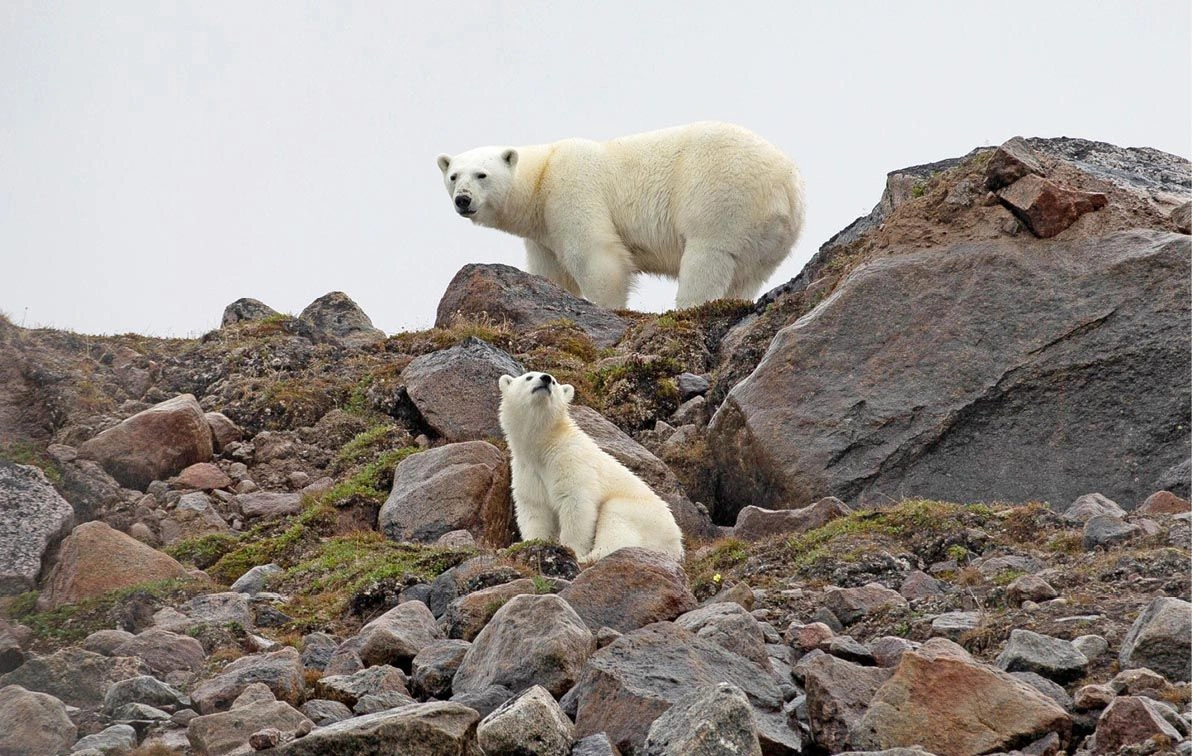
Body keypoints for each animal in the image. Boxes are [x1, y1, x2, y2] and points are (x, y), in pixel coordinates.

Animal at [437, 122, 805, 310]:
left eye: (482, 174)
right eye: (454, 176)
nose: (463, 200)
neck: (542, 176)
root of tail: (786, 182)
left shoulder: (572, 191)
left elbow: (597, 257)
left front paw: (608, 309)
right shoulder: (542, 232)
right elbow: (552, 273)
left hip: (720, 193)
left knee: (707, 259)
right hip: (766, 234)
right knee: (746, 275)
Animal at [498, 370, 684, 561]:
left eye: (555, 382)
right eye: (528, 377)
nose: (546, 379)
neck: (543, 445)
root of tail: (677, 543)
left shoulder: (570, 459)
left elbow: (576, 503)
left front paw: (571, 549)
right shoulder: (527, 469)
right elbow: (535, 508)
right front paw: (528, 544)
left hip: (644, 516)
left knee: (616, 521)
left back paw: (592, 556)